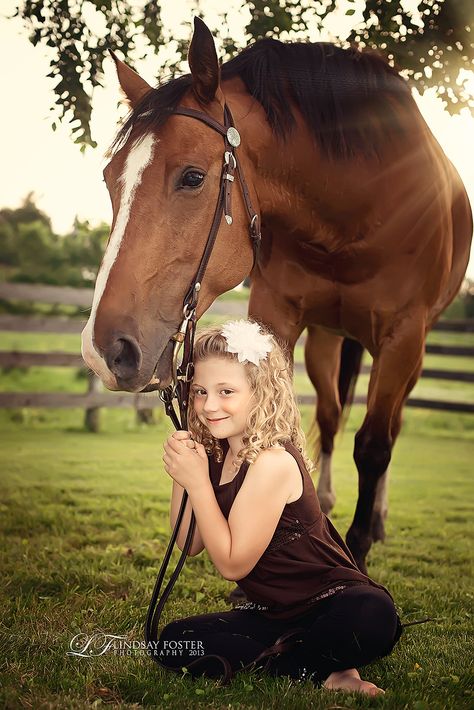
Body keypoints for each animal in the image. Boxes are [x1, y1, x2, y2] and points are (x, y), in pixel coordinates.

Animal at [81, 18, 470, 572]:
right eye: (111, 180)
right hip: (328, 339)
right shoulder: (276, 316)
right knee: (330, 416)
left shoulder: (403, 336)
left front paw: (357, 547)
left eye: (193, 177)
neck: (360, 202)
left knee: (388, 428)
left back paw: (375, 518)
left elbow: (375, 444)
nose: (102, 350)